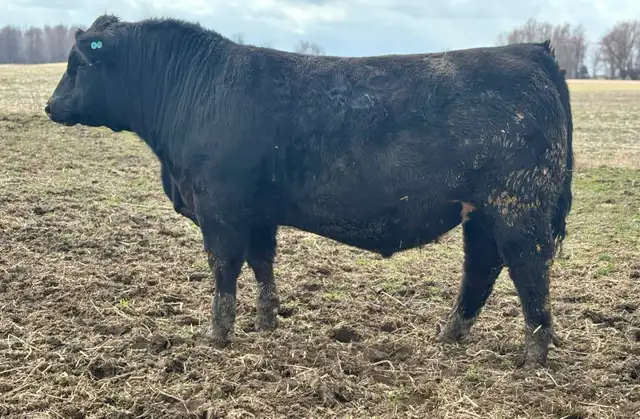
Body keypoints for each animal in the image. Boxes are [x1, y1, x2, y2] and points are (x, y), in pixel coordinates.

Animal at [44, 14, 573, 368]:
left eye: (78, 64)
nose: (50, 106)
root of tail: (533, 52)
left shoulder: (221, 210)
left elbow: (223, 271)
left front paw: (217, 334)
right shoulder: (257, 215)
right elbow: (261, 264)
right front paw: (266, 322)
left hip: (517, 208)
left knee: (529, 272)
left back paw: (533, 355)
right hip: (481, 212)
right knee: (482, 269)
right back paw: (449, 335)